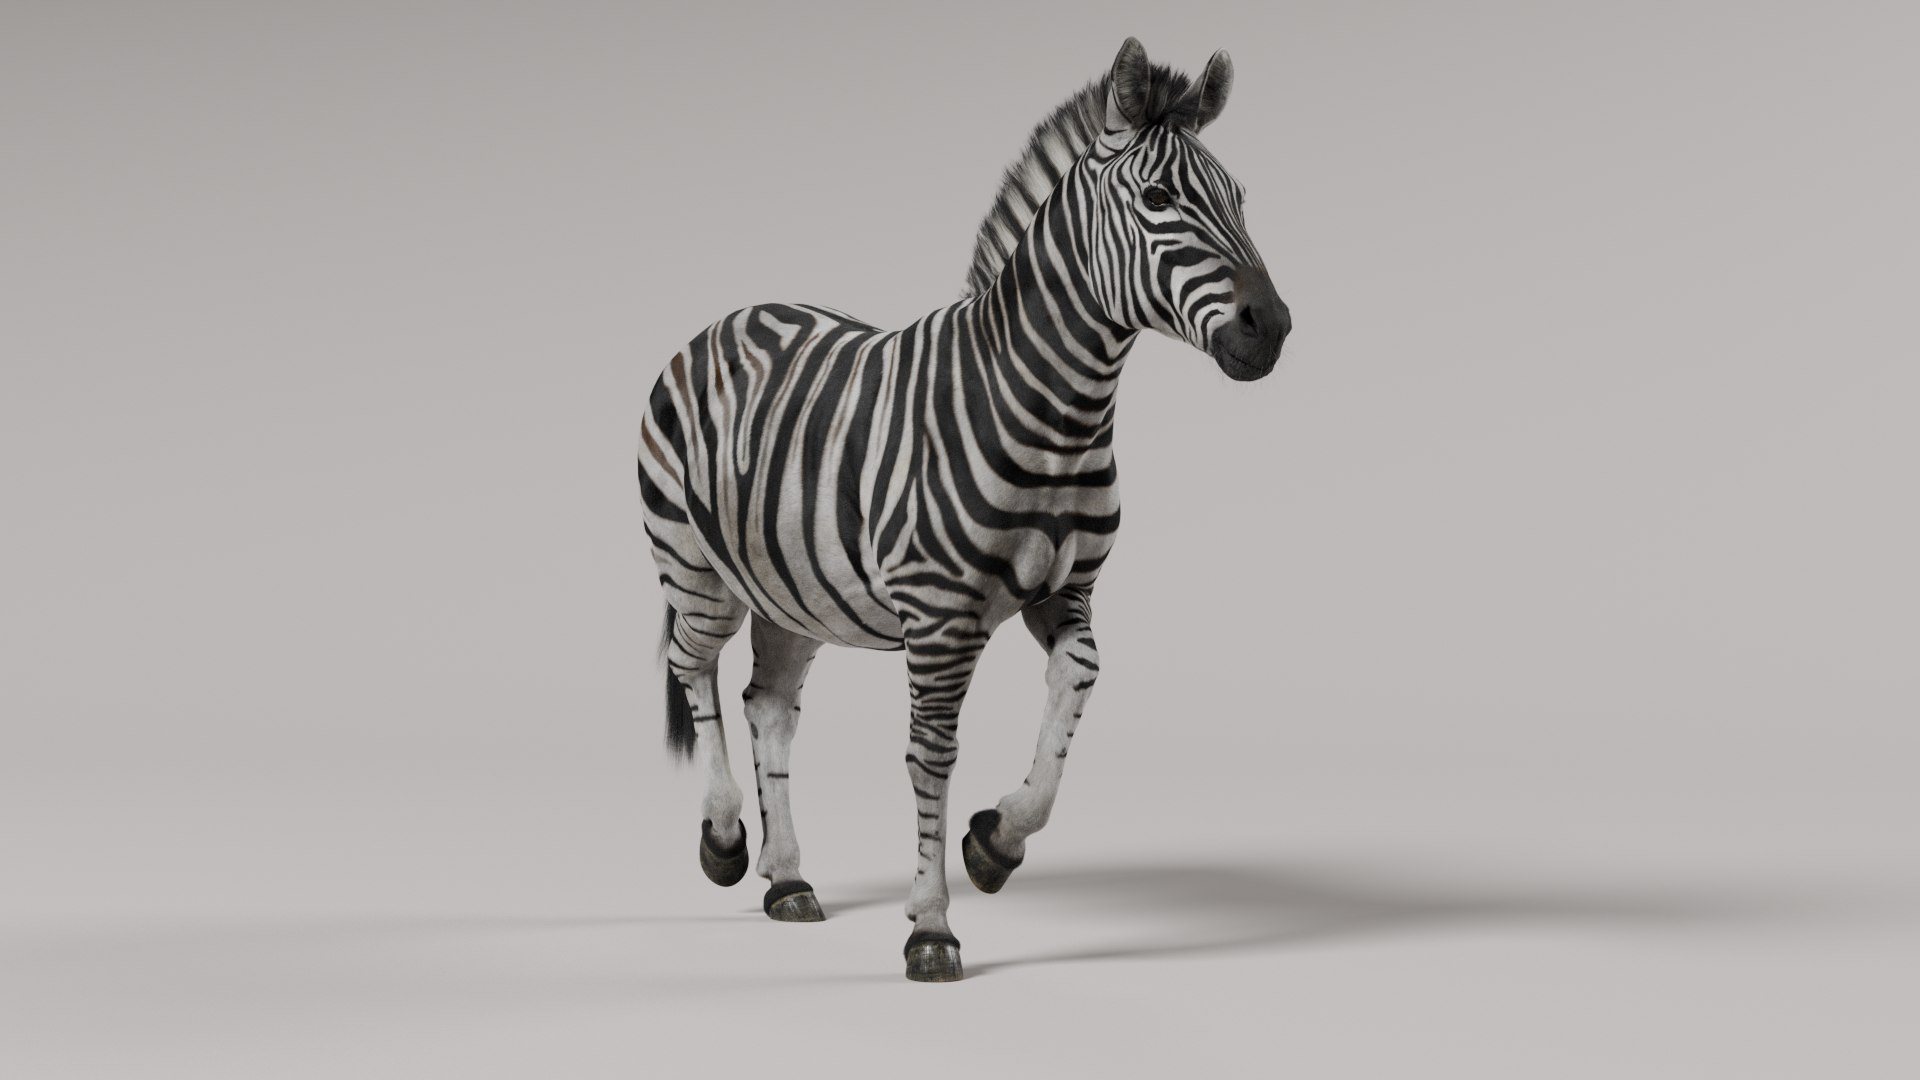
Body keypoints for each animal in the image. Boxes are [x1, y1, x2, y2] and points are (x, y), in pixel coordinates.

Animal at [638, 37, 1289, 982]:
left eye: (1240, 199)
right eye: (1160, 200)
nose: (1271, 328)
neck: (1062, 414)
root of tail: (734, 315)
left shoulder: (1066, 593)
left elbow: (1078, 681)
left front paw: (996, 841)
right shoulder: (940, 616)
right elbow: (931, 754)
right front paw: (931, 926)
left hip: (792, 591)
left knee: (768, 705)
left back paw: (788, 878)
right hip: (695, 568)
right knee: (693, 668)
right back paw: (725, 839)